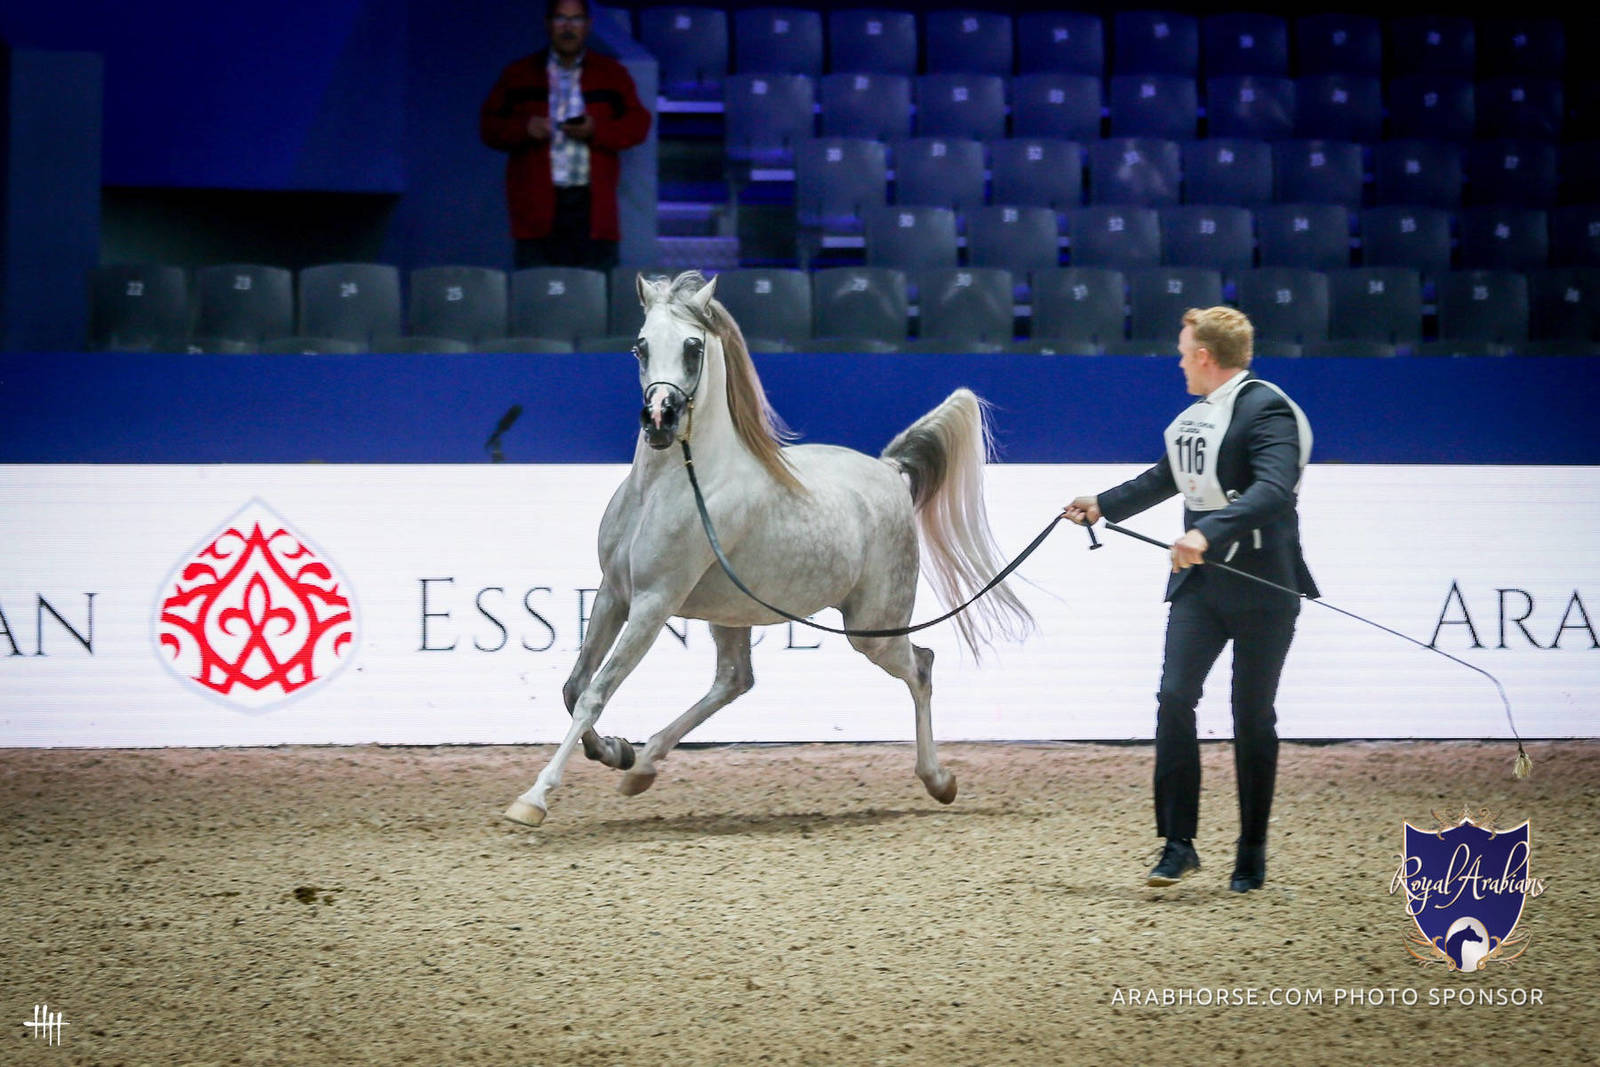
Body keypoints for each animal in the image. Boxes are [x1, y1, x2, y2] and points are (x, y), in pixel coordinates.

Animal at [504, 270, 1033, 826]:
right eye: (640, 346)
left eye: (693, 347)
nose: (659, 420)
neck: (666, 488)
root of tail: (889, 472)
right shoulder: (614, 593)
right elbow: (574, 687)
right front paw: (615, 751)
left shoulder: (653, 603)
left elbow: (595, 693)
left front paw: (534, 798)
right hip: (733, 613)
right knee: (734, 680)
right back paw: (641, 766)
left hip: (872, 629)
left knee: (922, 665)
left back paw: (939, 780)